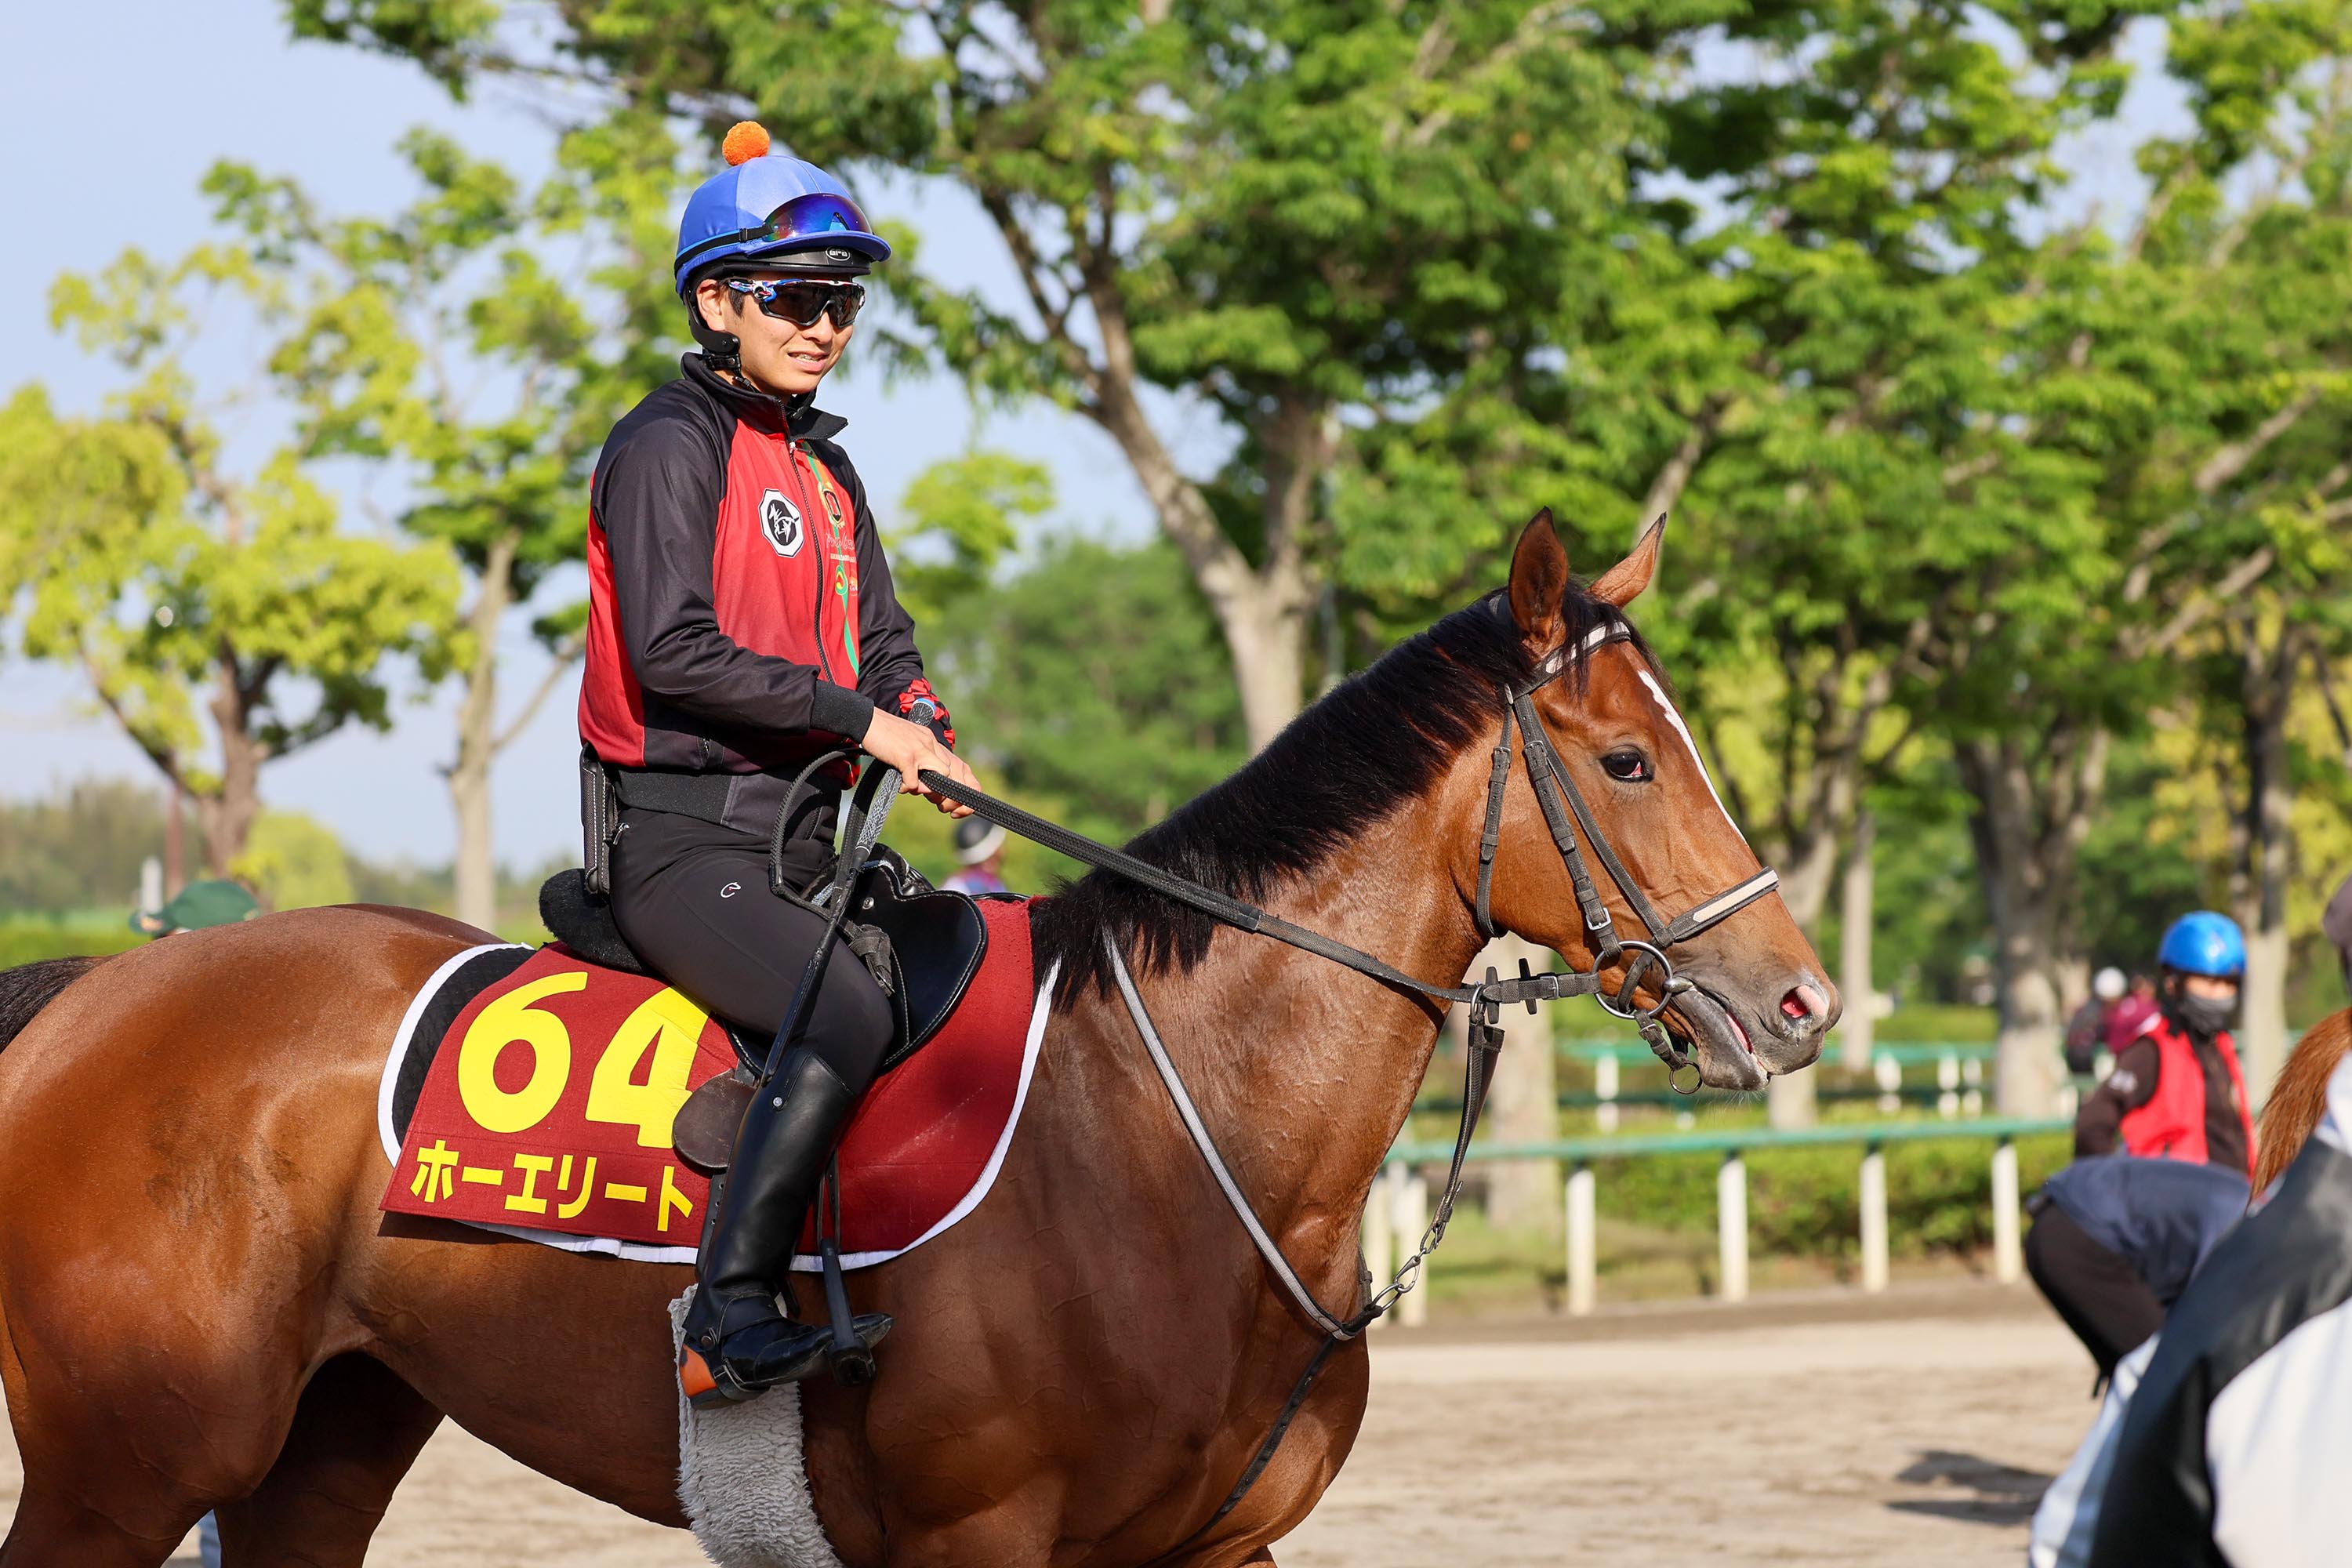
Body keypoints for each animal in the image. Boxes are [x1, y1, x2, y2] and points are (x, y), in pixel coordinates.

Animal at [0, 517, 1835, 1568]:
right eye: (1627, 762)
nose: (1801, 1000)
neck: (1169, 1136)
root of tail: (93, 993)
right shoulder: (980, 1538)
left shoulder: (1209, 1554)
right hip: (123, 1469)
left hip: (323, 1445)